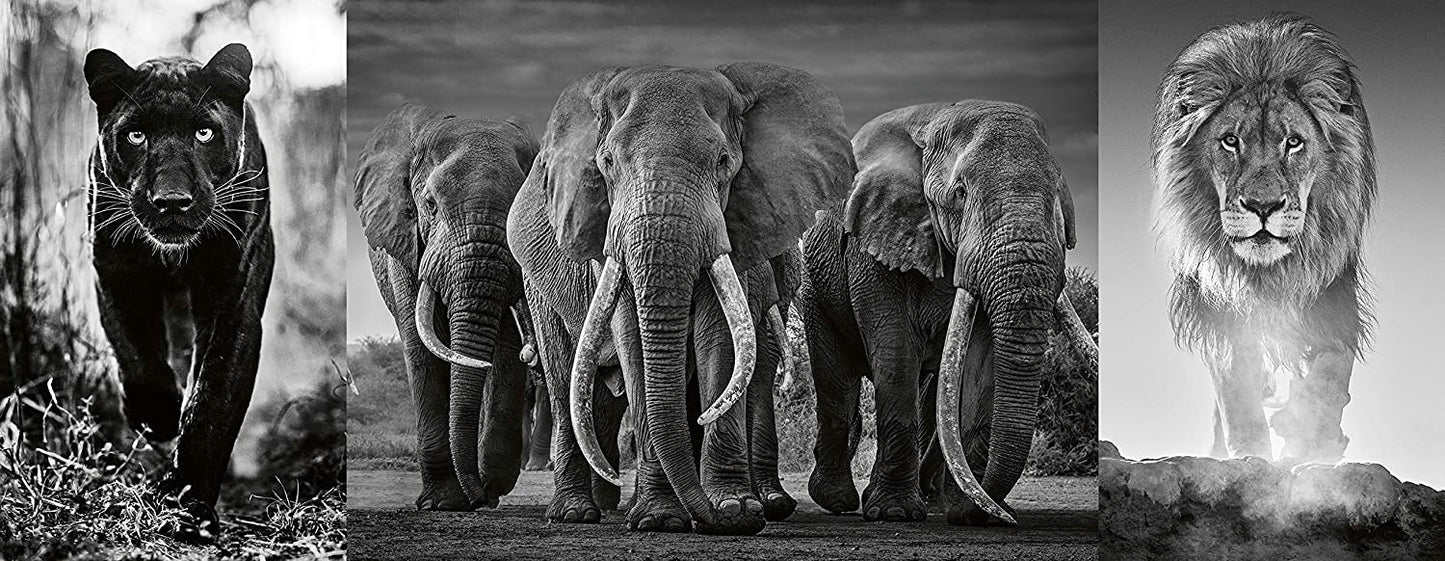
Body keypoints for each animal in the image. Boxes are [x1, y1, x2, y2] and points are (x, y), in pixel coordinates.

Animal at [355, 103, 540, 510]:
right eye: (430, 205)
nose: (479, 497)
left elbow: (506, 347)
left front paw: (488, 486)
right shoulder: (405, 243)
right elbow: (420, 344)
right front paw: (443, 502)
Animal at [507, 63, 854, 535]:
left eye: (723, 161)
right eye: (607, 163)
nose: (718, 517)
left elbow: (720, 338)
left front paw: (736, 510)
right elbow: (633, 338)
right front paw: (661, 519)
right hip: (539, 288)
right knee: (565, 381)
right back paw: (574, 513)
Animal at [800, 101, 1098, 526]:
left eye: (1059, 197)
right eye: (960, 194)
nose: (996, 514)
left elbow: (980, 363)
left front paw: (970, 514)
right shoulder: (875, 236)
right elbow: (894, 351)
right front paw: (894, 512)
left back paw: (934, 502)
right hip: (815, 287)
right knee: (837, 380)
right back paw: (837, 500)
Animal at [1151, 14, 1375, 465]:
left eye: (1294, 142)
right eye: (1230, 141)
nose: (1263, 205)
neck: (1269, 271)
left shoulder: (1333, 289)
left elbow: (1331, 369)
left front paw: (1314, 441)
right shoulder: (1218, 302)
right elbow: (1237, 387)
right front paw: (1252, 455)